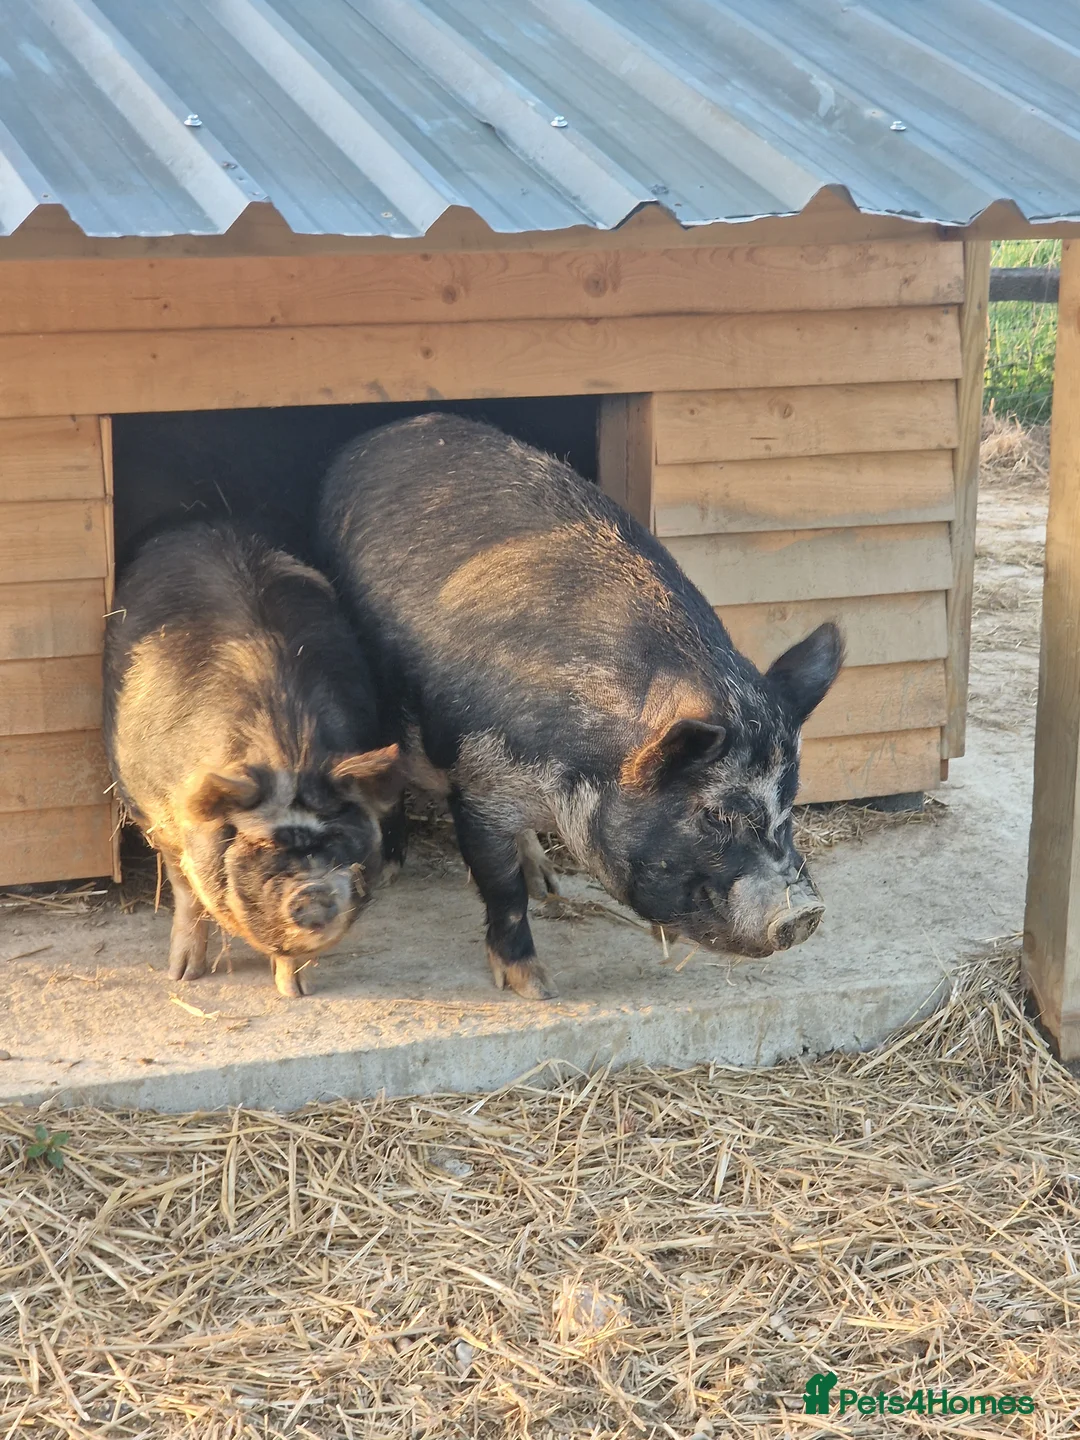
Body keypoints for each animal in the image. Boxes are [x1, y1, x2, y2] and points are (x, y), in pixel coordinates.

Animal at [104, 521, 405, 998]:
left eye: (335, 836)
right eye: (263, 844)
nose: (312, 893)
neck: (288, 750)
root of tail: (201, 526)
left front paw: (296, 992)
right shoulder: (156, 813)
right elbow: (186, 892)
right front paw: (183, 975)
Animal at [318, 414, 843, 1002]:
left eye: (790, 801)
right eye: (713, 815)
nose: (806, 913)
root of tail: (379, 433)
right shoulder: (477, 783)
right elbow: (500, 890)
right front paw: (535, 988)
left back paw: (545, 881)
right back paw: (391, 871)